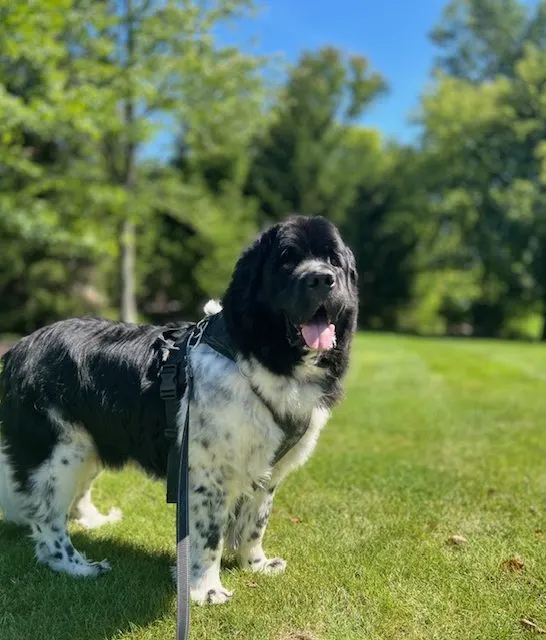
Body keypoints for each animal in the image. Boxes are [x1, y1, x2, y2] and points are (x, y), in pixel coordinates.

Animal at [0, 215, 356, 604]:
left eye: (334, 261)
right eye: (286, 260)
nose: (321, 278)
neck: (257, 355)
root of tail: (19, 347)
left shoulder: (267, 469)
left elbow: (255, 523)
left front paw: (256, 565)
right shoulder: (207, 473)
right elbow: (209, 535)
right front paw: (205, 590)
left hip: (87, 445)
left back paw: (95, 522)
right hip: (59, 453)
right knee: (48, 521)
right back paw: (76, 565)